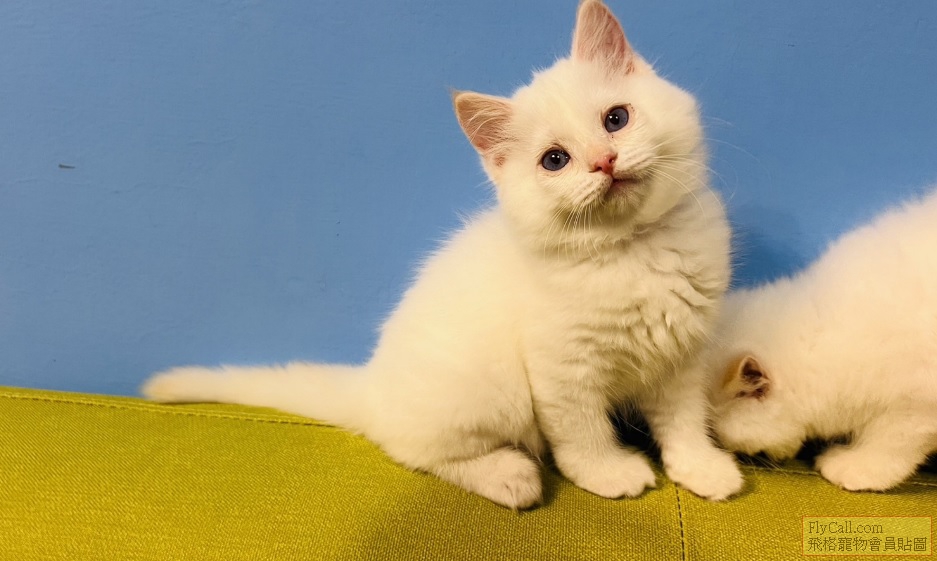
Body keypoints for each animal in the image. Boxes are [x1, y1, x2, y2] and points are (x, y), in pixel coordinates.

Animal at [143, 0, 742, 508]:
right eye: (555, 160)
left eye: (616, 119)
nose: (604, 161)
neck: (633, 250)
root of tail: (373, 383)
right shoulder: (562, 368)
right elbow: (582, 432)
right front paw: (609, 473)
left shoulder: (683, 353)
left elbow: (684, 420)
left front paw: (701, 467)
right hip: (489, 390)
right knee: (415, 450)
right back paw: (510, 476)